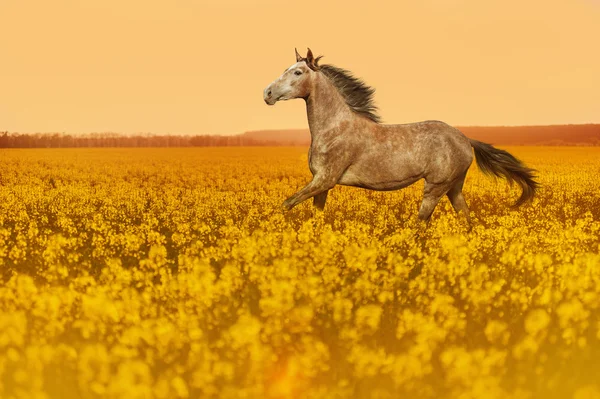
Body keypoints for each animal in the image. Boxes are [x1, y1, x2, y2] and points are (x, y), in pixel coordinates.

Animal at [262, 48, 540, 223]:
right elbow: (314, 216)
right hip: (454, 188)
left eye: (298, 72)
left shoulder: (325, 180)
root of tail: (465, 139)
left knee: (422, 222)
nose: (267, 93)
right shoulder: (321, 184)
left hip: (435, 187)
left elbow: (287, 203)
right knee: (466, 219)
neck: (334, 128)